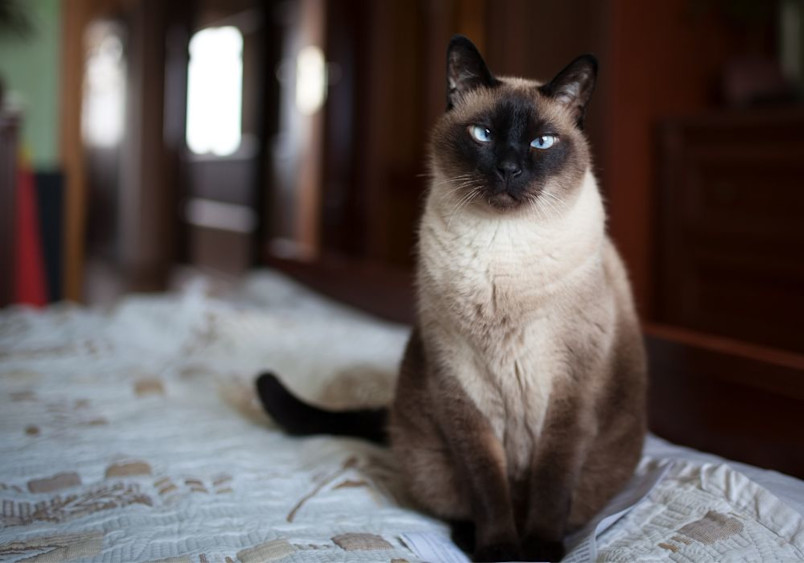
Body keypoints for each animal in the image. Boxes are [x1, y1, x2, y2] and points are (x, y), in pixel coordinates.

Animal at [258, 36, 648, 563]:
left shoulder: (571, 393)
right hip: (427, 451)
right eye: (483, 134)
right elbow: (486, 486)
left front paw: (540, 550)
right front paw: (501, 551)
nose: (509, 169)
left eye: (541, 143)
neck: (504, 253)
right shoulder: (462, 389)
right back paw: (470, 540)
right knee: (460, 502)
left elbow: (552, 482)